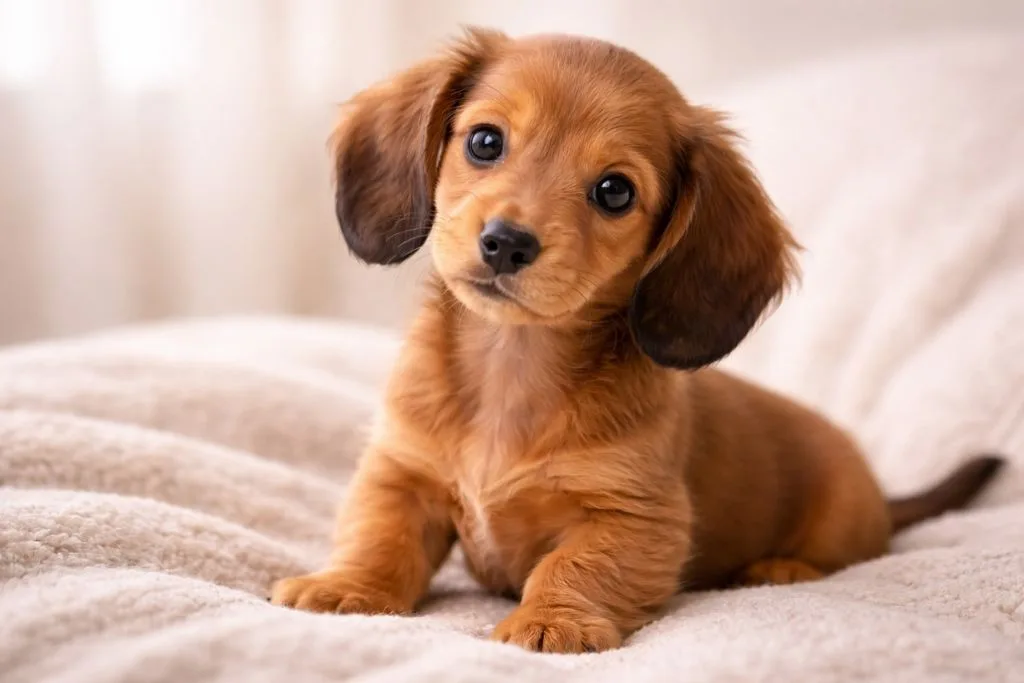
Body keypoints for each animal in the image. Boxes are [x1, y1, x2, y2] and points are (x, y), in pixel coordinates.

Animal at [271, 28, 1004, 654]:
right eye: (483, 141)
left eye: (614, 191)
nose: (506, 242)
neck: (513, 368)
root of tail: (881, 492)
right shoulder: (402, 474)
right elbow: (380, 535)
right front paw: (348, 588)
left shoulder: (633, 517)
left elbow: (575, 566)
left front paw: (552, 621)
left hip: (837, 524)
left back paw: (781, 567)